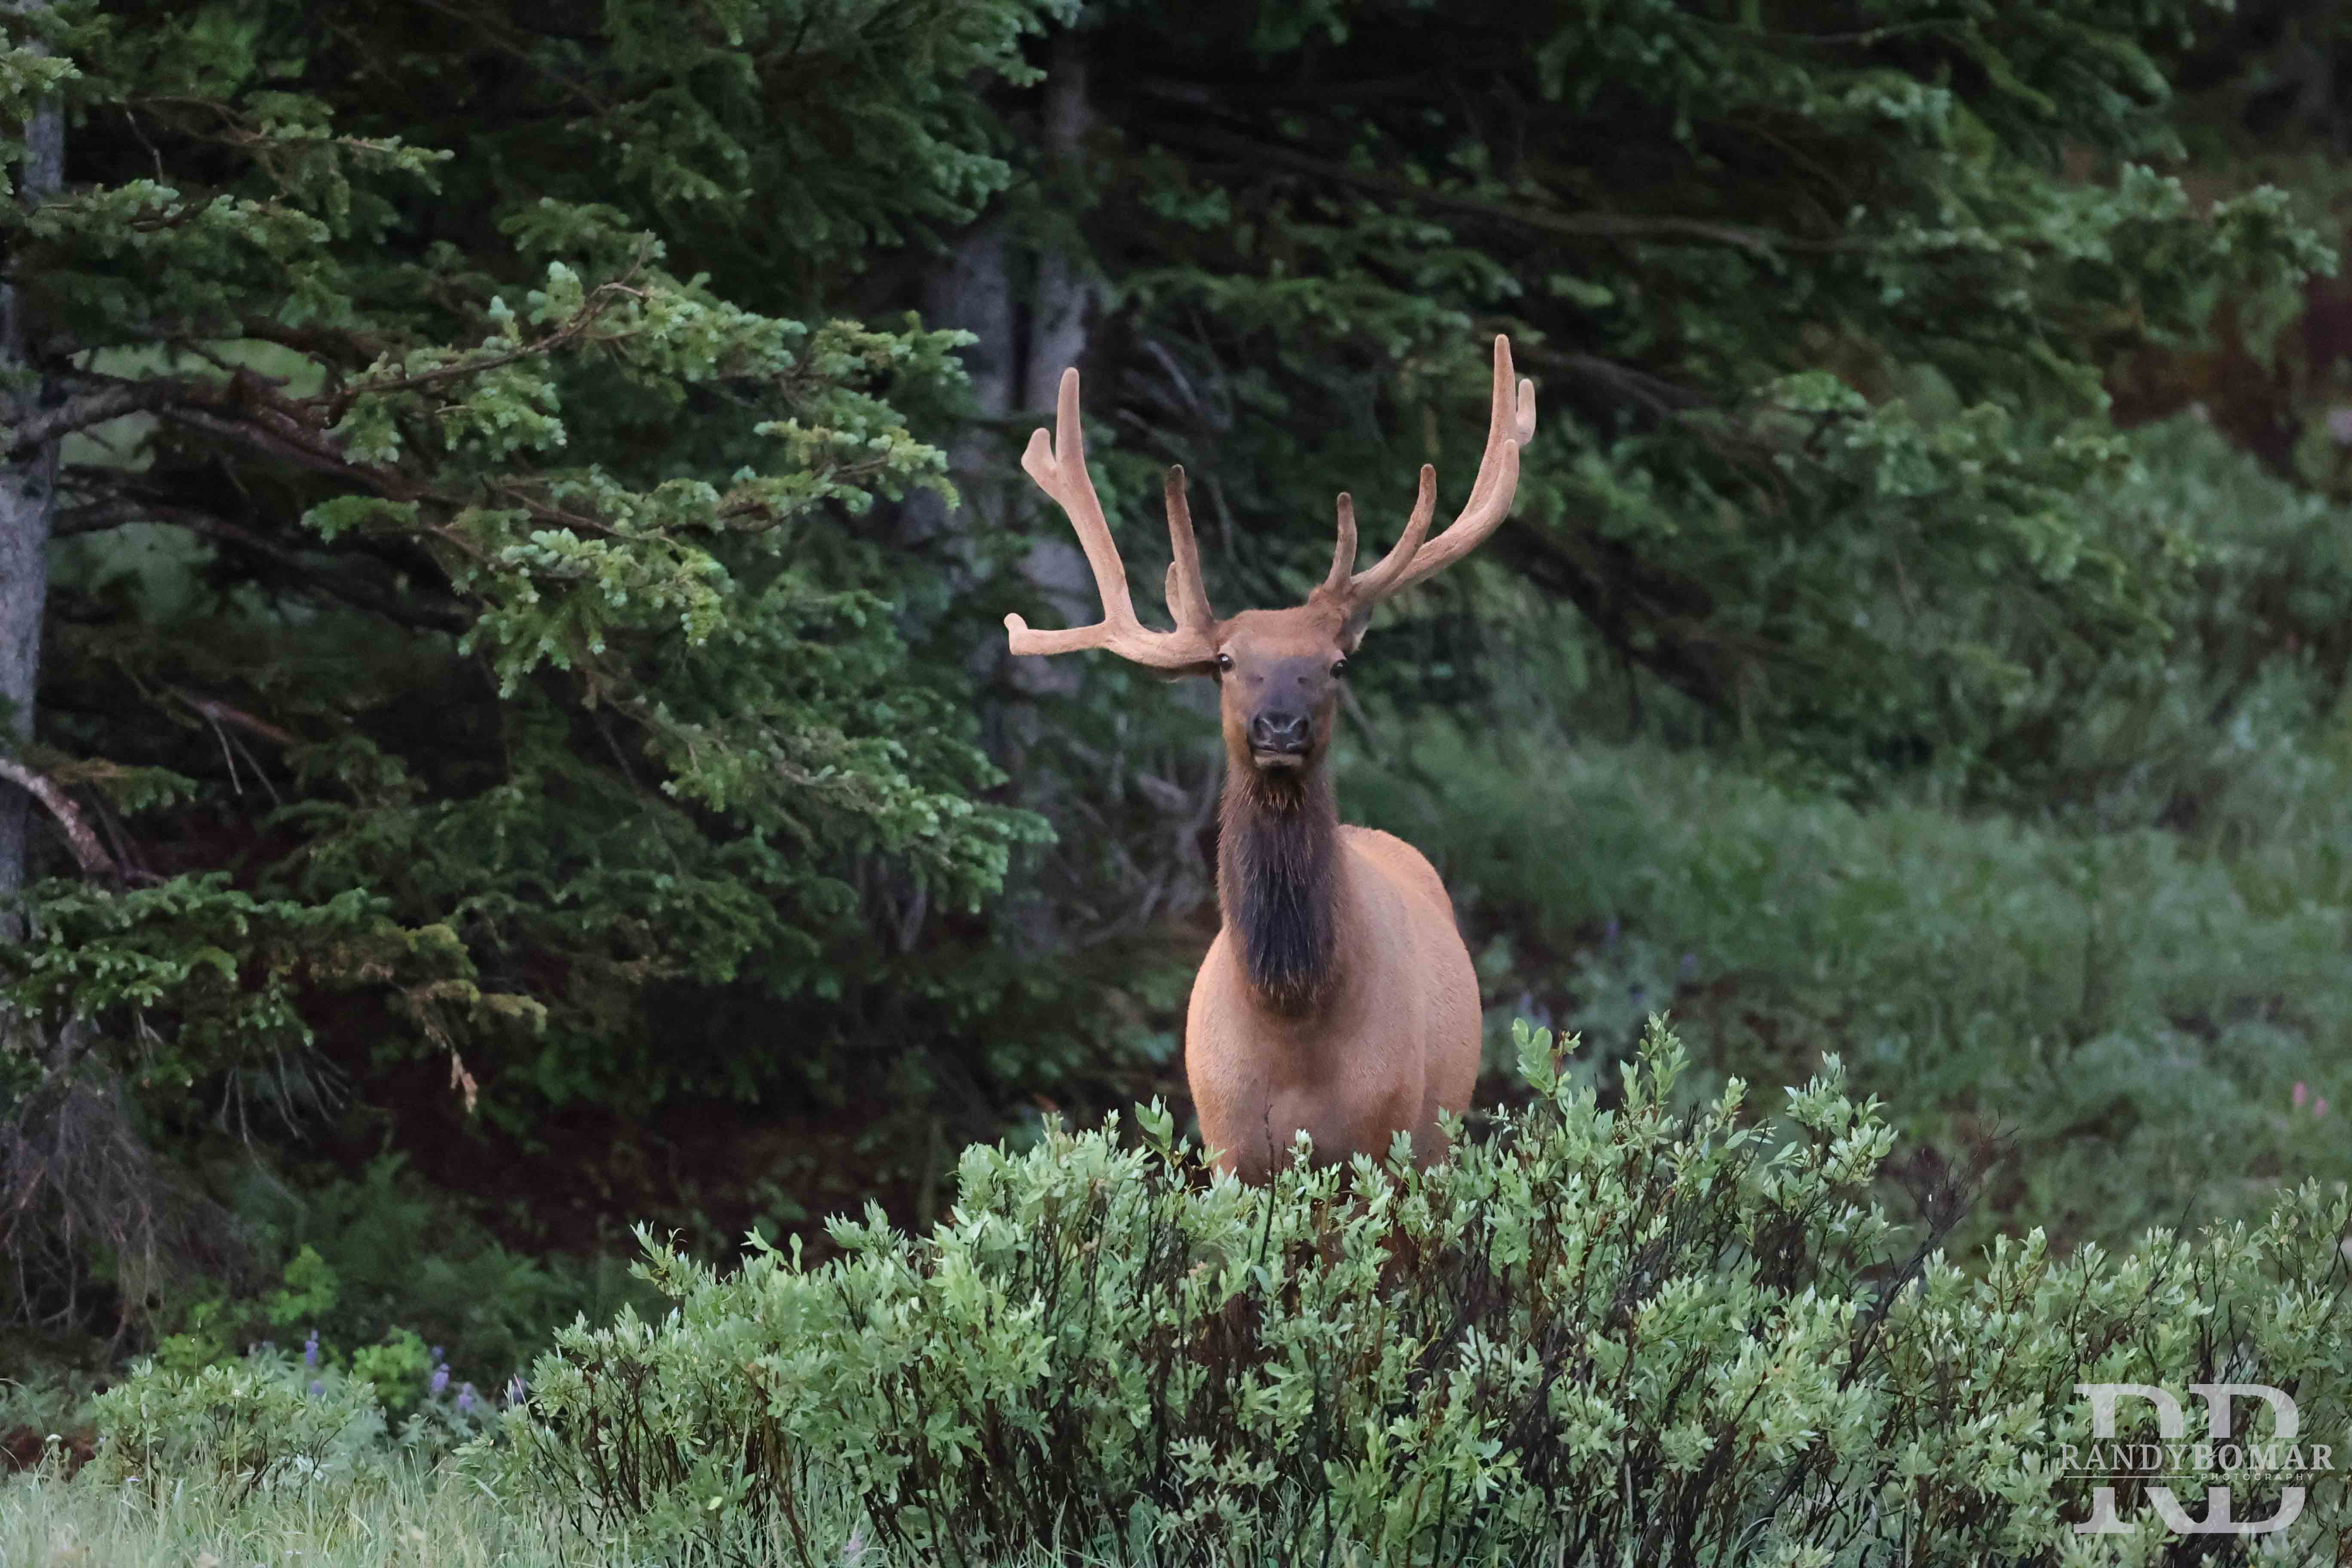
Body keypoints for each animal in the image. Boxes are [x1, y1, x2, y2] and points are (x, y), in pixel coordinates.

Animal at [1002, 338, 1533, 1185]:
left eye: (1335, 664)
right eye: (1226, 661)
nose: (1279, 726)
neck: (1292, 1020)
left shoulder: (1381, 1145)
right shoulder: (1229, 1147)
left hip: (1439, 1139)